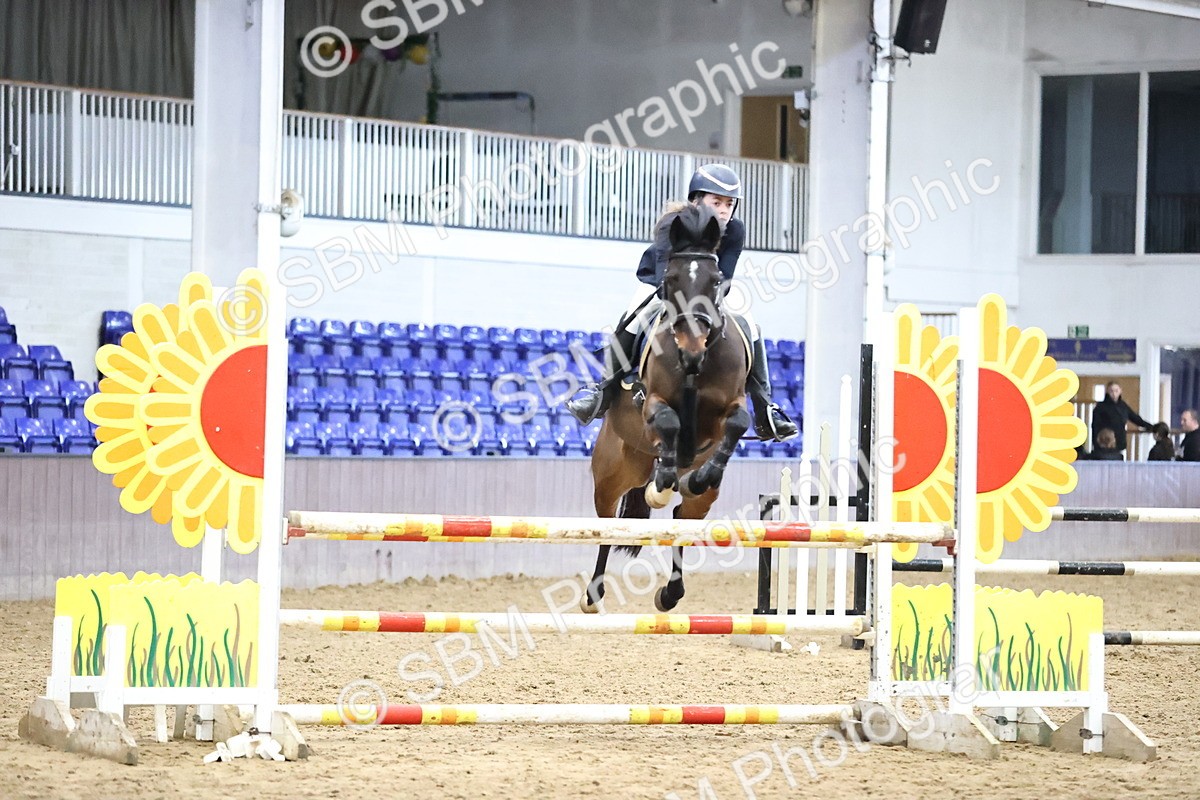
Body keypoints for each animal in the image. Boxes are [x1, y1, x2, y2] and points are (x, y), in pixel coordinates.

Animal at [582, 204, 753, 613]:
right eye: (671, 279)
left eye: (715, 280)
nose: (691, 351)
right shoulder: (653, 405)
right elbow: (669, 421)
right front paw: (664, 480)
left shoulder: (728, 408)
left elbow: (738, 422)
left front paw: (699, 474)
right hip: (612, 472)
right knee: (608, 523)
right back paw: (593, 595)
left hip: (696, 501)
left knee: (680, 519)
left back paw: (670, 593)